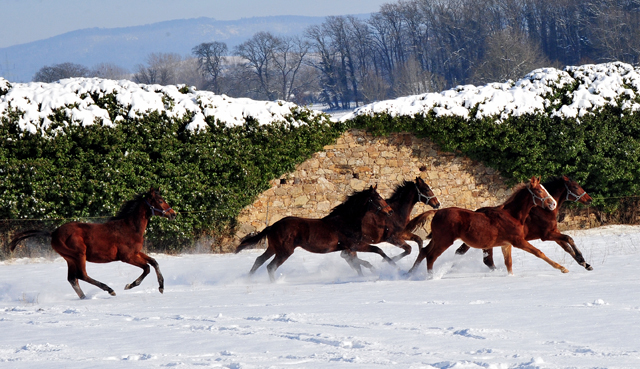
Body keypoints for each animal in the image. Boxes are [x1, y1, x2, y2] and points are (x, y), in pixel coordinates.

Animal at [8, 187, 178, 300]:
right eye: (160, 201)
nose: (173, 214)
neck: (129, 227)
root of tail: (53, 233)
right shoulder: (127, 256)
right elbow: (147, 267)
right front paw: (129, 286)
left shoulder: (135, 253)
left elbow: (154, 262)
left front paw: (161, 287)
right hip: (79, 254)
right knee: (81, 275)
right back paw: (109, 290)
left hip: (70, 258)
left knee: (73, 279)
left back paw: (84, 297)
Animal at [235, 185, 396, 280]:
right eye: (377, 198)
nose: (390, 211)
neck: (347, 221)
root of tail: (272, 226)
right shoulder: (355, 245)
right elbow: (377, 250)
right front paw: (393, 265)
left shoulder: (349, 249)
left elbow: (357, 264)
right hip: (285, 251)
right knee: (270, 266)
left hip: (273, 248)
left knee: (259, 260)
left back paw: (247, 280)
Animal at [408, 176, 568, 276]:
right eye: (540, 190)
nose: (552, 204)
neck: (512, 215)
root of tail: (437, 212)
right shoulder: (518, 241)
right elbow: (539, 252)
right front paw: (562, 268)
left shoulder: (506, 244)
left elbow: (508, 263)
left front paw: (510, 277)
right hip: (444, 240)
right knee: (431, 256)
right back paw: (431, 277)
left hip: (437, 239)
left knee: (424, 251)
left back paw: (411, 273)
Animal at [456, 175, 596, 274]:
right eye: (576, 187)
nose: (589, 200)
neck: (543, 210)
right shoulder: (547, 235)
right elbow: (569, 239)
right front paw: (582, 260)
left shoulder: (554, 232)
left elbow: (567, 247)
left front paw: (586, 264)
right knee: (484, 259)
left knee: (471, 255)